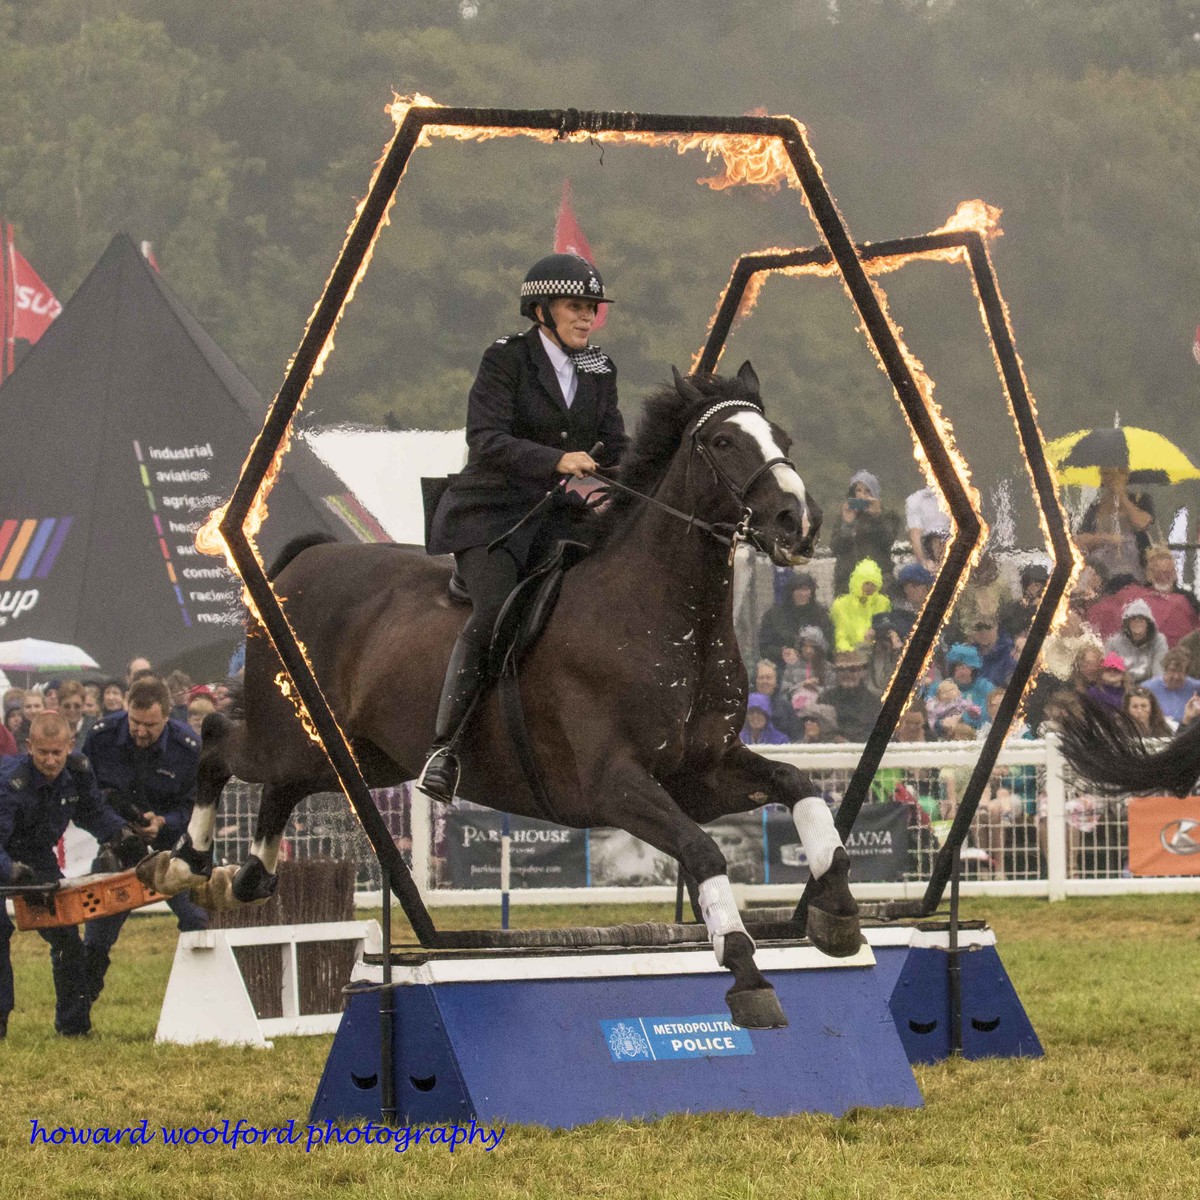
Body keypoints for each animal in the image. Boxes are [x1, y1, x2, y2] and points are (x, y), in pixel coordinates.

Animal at [138, 360, 864, 1027]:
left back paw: (252, 873)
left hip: (361, 756)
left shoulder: (699, 775)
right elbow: (705, 851)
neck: (665, 617)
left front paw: (837, 911)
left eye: (782, 437)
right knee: (218, 742)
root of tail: (306, 561)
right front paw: (746, 970)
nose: (798, 522)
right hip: (292, 729)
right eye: (723, 442)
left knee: (282, 786)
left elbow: (800, 789)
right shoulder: (616, 785)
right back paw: (185, 862)